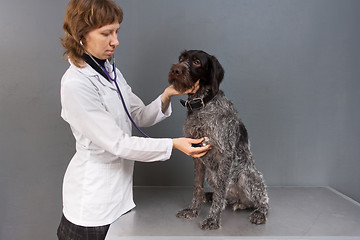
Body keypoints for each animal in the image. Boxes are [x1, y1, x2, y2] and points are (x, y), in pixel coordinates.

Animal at [170, 49, 268, 230]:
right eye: (181, 59)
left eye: (196, 62)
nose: (175, 69)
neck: (201, 106)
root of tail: (238, 200)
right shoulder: (196, 152)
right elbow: (197, 186)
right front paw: (193, 209)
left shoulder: (226, 154)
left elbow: (221, 191)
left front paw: (212, 218)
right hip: (212, 175)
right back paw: (211, 196)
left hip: (247, 177)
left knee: (262, 200)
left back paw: (259, 213)